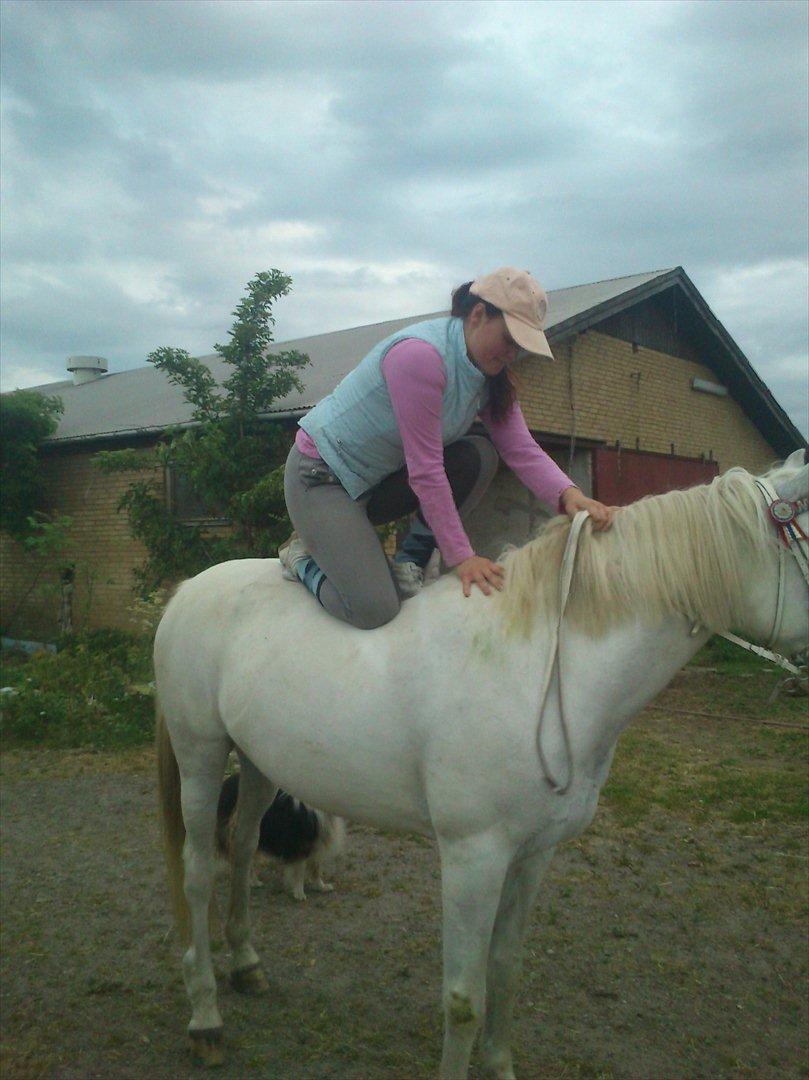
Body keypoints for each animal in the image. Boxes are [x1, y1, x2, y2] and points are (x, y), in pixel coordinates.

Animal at [155, 449, 808, 1079]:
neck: (543, 669)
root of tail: (187, 592)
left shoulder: (534, 853)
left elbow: (506, 970)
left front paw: (499, 1065)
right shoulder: (474, 856)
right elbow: (464, 997)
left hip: (259, 765)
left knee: (242, 847)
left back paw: (247, 966)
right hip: (201, 755)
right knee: (198, 871)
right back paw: (206, 1020)